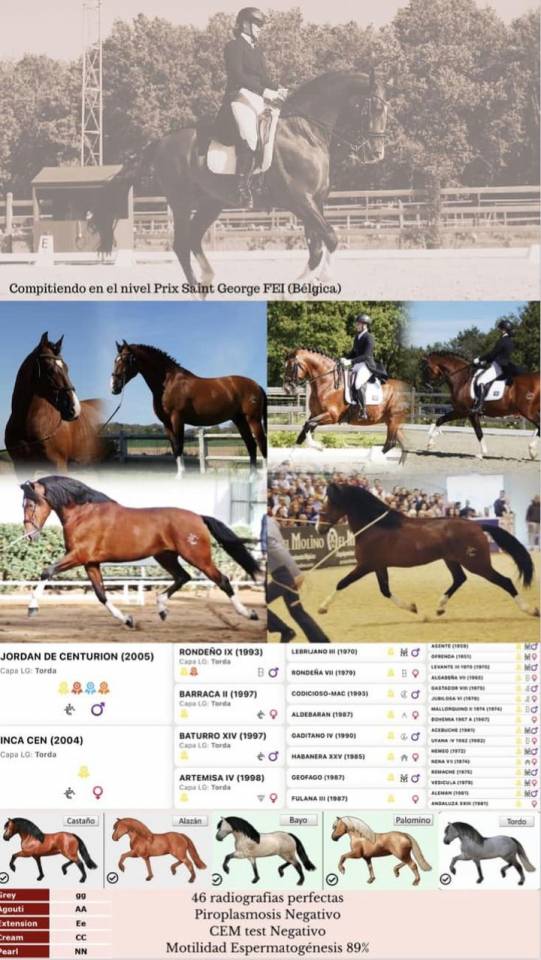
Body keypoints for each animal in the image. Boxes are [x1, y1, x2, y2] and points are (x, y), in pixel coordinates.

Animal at [20, 475, 261, 628]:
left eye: (30, 505)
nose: (30, 536)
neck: (83, 513)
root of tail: (198, 517)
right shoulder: (91, 563)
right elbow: (101, 594)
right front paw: (127, 620)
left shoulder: (78, 556)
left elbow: (47, 571)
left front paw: (32, 608)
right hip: (165, 556)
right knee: (183, 577)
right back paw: (162, 608)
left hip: (197, 557)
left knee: (222, 580)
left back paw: (249, 613)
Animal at [89, 70, 387, 286]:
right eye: (373, 108)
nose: (376, 153)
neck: (304, 131)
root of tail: (161, 141)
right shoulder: (299, 200)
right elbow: (331, 239)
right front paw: (323, 279)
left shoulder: (316, 202)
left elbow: (316, 248)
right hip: (182, 202)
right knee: (182, 245)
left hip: (211, 203)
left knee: (194, 240)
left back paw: (208, 282)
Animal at [111, 341, 266, 477]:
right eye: (115, 360)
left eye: (125, 359)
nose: (113, 386)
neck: (168, 384)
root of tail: (257, 386)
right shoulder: (166, 423)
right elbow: (174, 447)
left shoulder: (177, 418)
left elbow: (179, 445)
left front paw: (181, 475)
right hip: (240, 420)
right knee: (251, 446)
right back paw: (251, 477)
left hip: (253, 420)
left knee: (261, 443)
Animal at [315, 482, 539, 619]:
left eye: (330, 502)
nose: (319, 528)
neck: (376, 526)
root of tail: (476, 525)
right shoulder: (379, 566)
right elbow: (385, 591)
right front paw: (414, 609)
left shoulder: (365, 566)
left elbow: (342, 583)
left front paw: (322, 607)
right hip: (452, 560)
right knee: (460, 579)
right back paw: (439, 607)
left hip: (477, 563)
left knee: (505, 581)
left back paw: (530, 610)